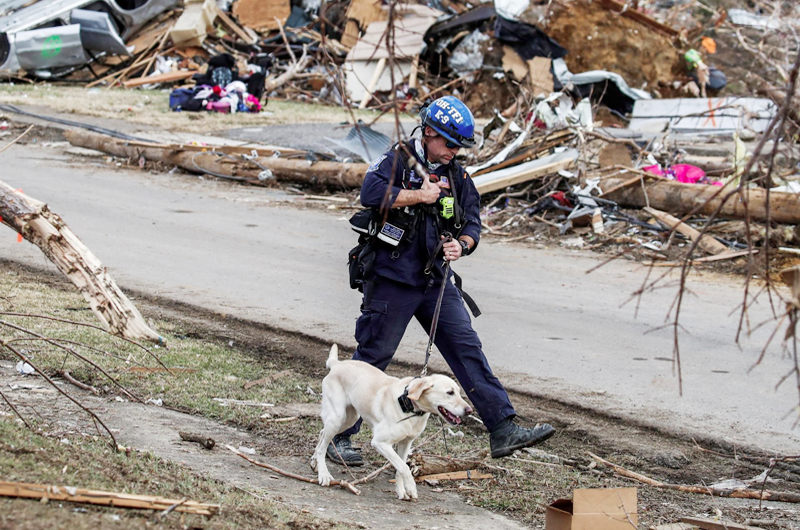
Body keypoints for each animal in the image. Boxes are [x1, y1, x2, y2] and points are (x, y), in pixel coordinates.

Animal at [312, 342, 472, 500]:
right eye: (449, 392)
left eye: (459, 392)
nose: (469, 410)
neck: (409, 405)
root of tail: (337, 364)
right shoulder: (380, 442)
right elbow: (404, 467)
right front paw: (411, 487)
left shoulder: (406, 443)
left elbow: (400, 468)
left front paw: (402, 491)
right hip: (338, 418)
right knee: (322, 447)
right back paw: (324, 475)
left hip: (349, 419)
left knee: (322, 434)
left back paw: (315, 463)